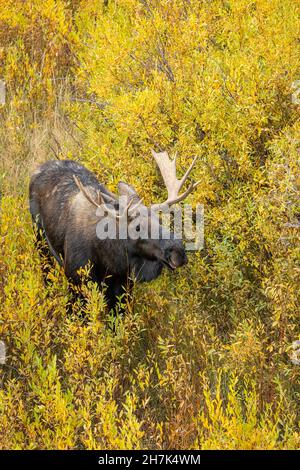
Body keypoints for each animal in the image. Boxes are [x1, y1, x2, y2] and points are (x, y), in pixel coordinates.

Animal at [29, 151, 199, 316]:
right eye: (137, 228)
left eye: (160, 219)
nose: (178, 252)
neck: (109, 259)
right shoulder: (76, 280)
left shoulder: (123, 286)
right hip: (41, 245)